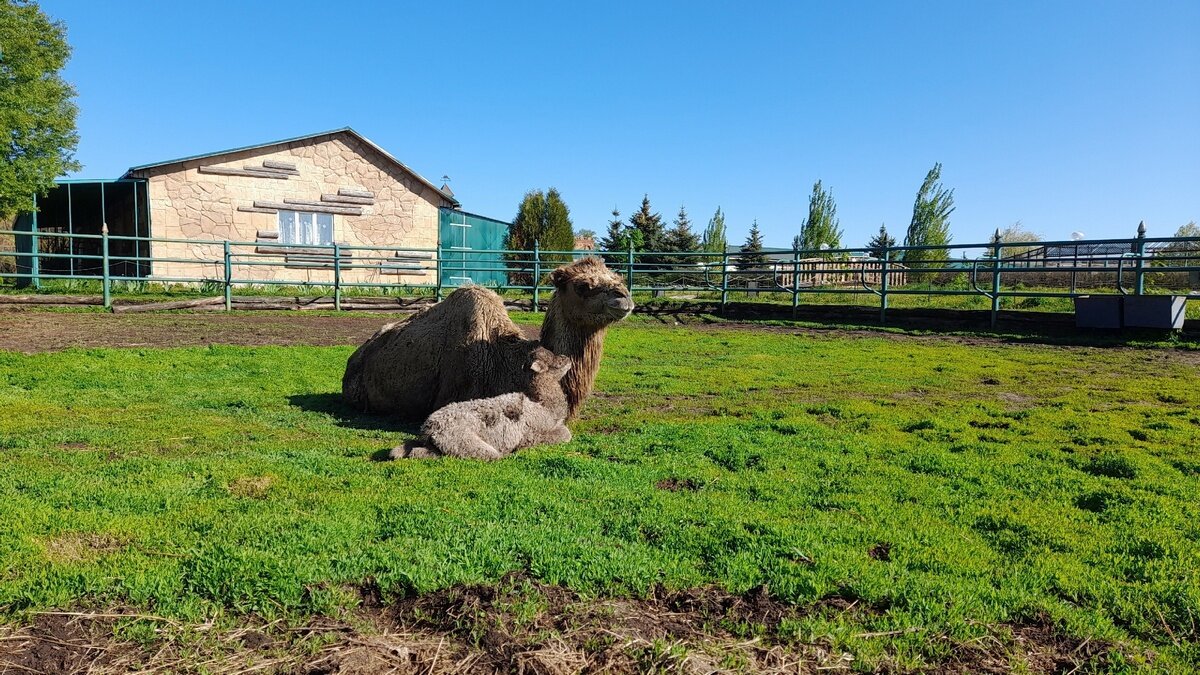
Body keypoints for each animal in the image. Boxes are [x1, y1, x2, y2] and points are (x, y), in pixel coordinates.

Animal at [391, 343, 573, 458]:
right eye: (554, 362)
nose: (568, 358)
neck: (544, 406)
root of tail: (428, 428)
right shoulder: (535, 431)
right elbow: (565, 434)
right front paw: (522, 447)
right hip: (463, 440)